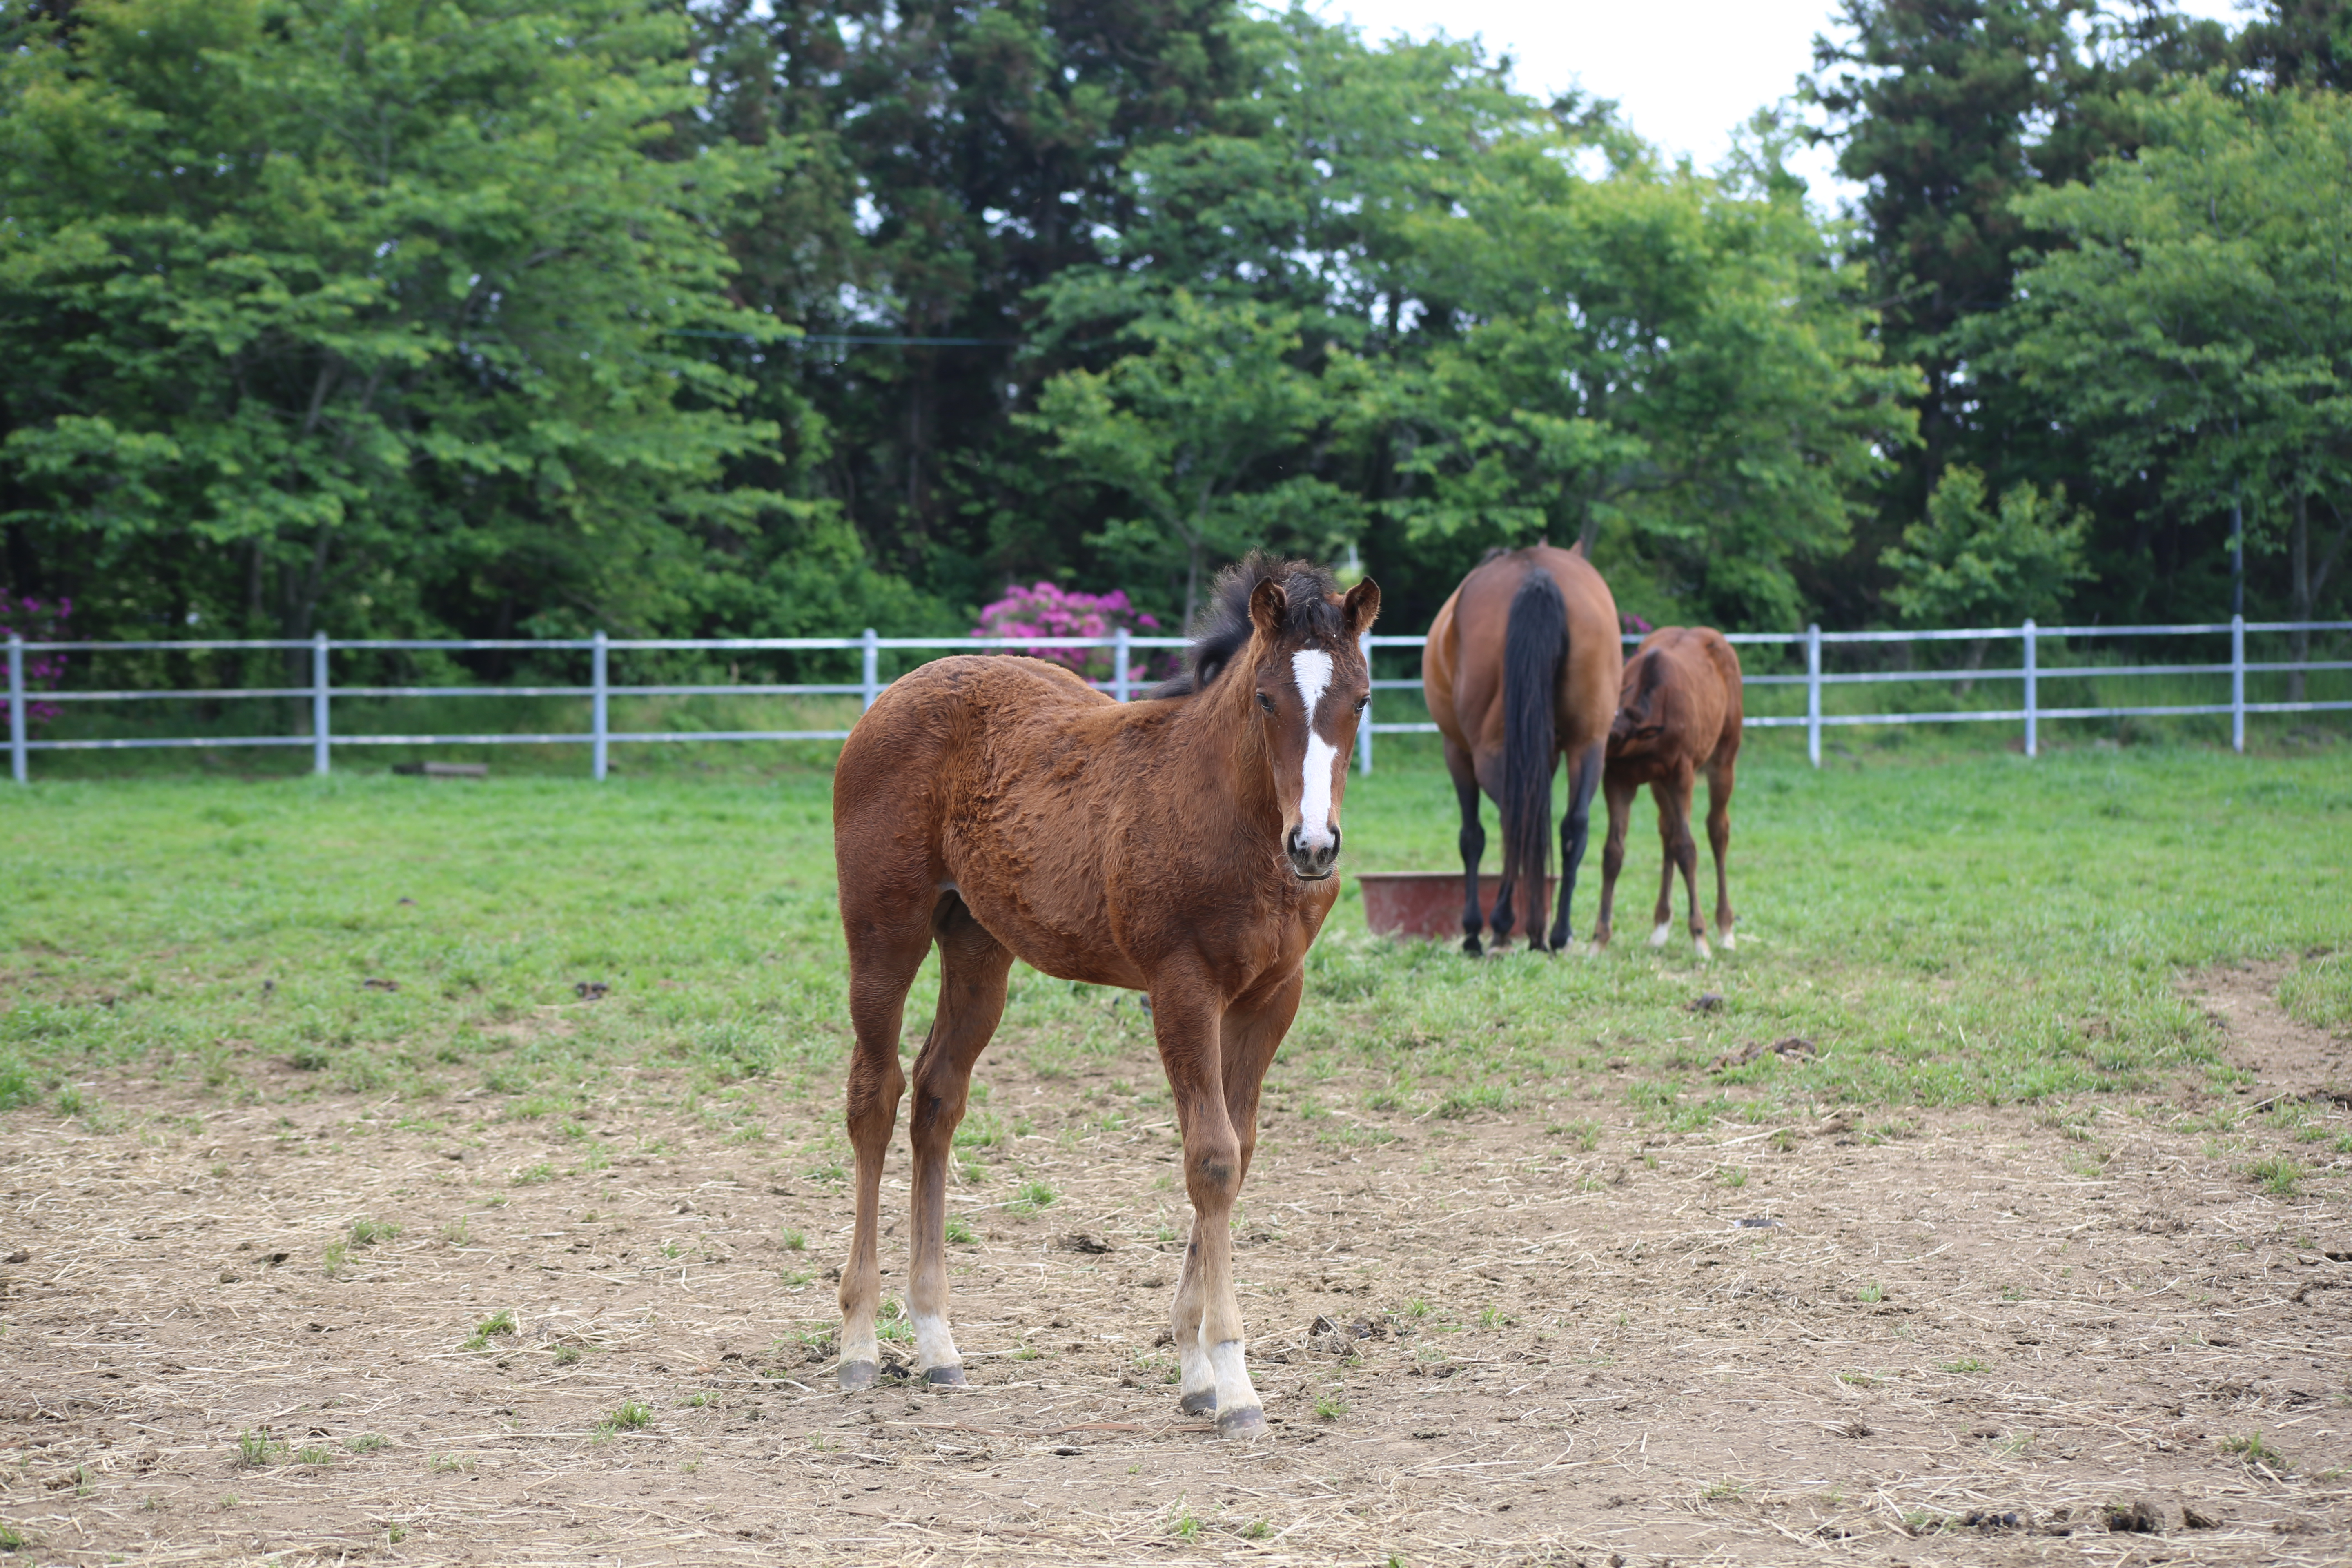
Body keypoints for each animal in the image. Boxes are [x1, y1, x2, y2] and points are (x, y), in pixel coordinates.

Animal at [828, 557, 1373, 1439]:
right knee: (874, 1096)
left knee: (938, 1098)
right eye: (1266, 698)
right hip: (885, 930)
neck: (1236, 820)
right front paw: (1233, 1381)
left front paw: (1195, 1369)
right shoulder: (1182, 988)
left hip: (978, 947)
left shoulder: (1271, 999)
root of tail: (895, 695)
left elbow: (1240, 1152)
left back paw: (938, 1341)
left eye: (1359, 698)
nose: (1315, 846)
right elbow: (1211, 1159)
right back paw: (860, 1343)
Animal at [1421, 545, 1627, 949]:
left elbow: (1472, 838)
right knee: (1572, 825)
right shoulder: (1546, 756)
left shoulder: (1457, 752)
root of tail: (1537, 571)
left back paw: (1503, 926)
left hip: (1488, 753)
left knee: (1515, 821)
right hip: (1589, 744)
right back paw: (1556, 933)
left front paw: (1472, 931)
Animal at [1590, 625, 1740, 959]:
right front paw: (1599, 939)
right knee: (1667, 830)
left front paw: (1700, 938)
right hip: (1658, 784)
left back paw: (1726, 929)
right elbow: (1613, 852)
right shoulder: (1619, 779)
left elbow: (1687, 847)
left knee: (1717, 830)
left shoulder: (1681, 774)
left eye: (1613, 737)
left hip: (1723, 760)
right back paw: (1660, 928)